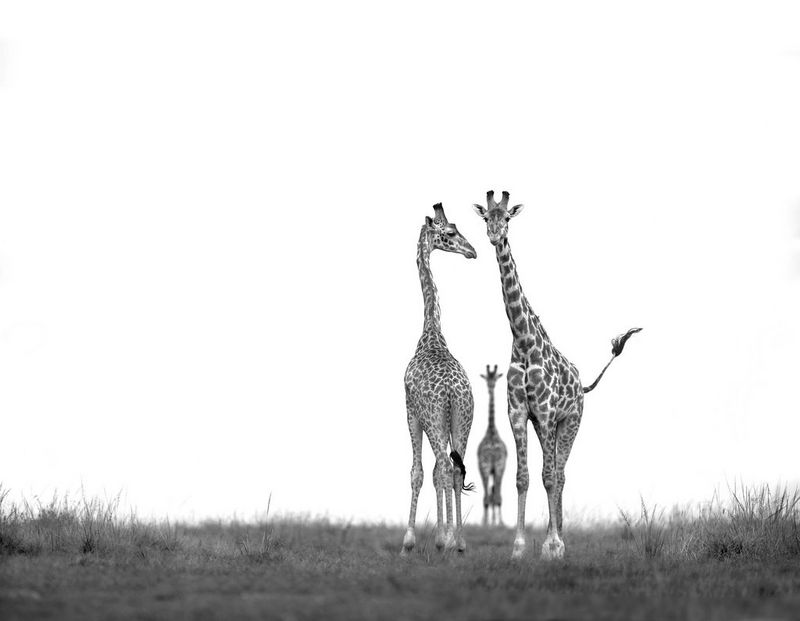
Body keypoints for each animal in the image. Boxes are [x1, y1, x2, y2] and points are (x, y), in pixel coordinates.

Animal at [472, 190, 641, 560]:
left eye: (508, 218)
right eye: (486, 218)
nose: (494, 236)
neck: (523, 342)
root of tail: (582, 385)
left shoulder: (548, 412)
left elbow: (549, 476)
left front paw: (551, 546)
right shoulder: (519, 412)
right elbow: (523, 477)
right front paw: (519, 548)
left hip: (571, 421)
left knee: (560, 473)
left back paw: (560, 540)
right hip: (544, 425)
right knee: (553, 472)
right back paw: (558, 535)